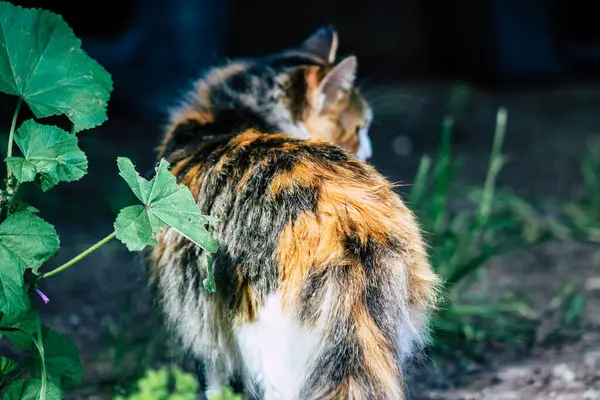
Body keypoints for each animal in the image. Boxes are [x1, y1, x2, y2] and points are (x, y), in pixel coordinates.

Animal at [149, 26, 440, 398]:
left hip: (260, 337)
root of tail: (348, 225)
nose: (370, 150)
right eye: (359, 128)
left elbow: (212, 379)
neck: (226, 116)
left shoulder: (201, 313)